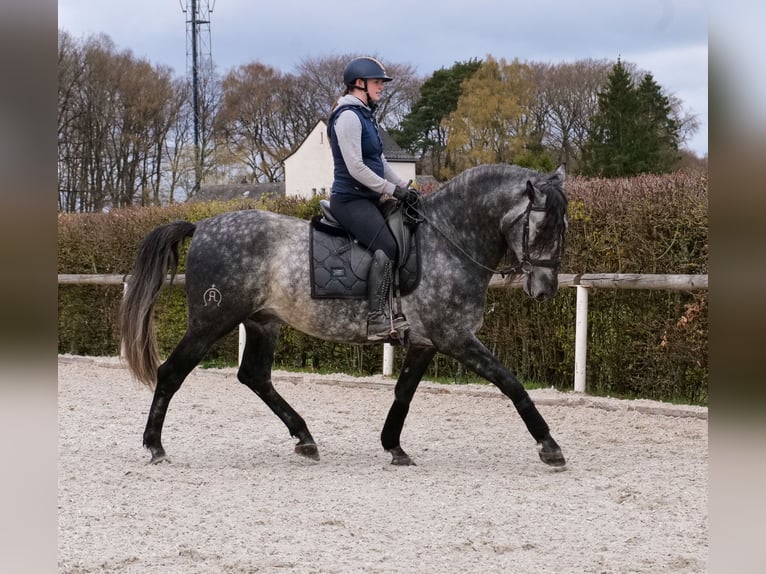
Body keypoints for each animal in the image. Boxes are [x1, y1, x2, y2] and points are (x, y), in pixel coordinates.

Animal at [119, 163, 569, 468]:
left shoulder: (426, 341)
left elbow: (403, 392)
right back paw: (155, 446)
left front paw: (394, 446)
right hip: (211, 320)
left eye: (562, 227)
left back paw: (305, 438)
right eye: (542, 228)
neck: (449, 240)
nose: (545, 290)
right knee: (172, 372)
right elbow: (509, 382)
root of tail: (203, 227)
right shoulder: (455, 337)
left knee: (255, 376)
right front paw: (549, 446)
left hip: (263, 322)